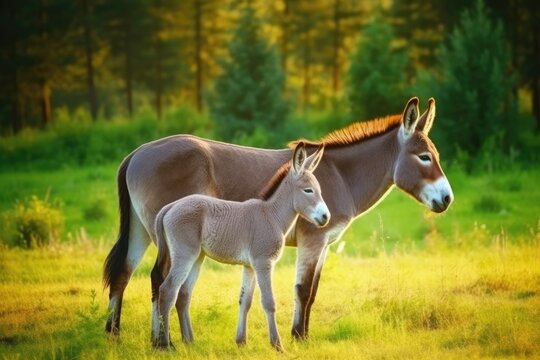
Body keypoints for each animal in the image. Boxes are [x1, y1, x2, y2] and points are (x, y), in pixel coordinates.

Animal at [151, 142, 330, 350]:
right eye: (308, 190)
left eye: (319, 190)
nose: (326, 217)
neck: (271, 215)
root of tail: (170, 206)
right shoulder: (263, 263)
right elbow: (269, 302)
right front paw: (277, 345)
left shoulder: (250, 266)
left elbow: (245, 301)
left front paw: (241, 342)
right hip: (184, 255)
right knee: (167, 290)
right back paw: (165, 345)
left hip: (197, 257)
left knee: (184, 294)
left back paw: (189, 341)